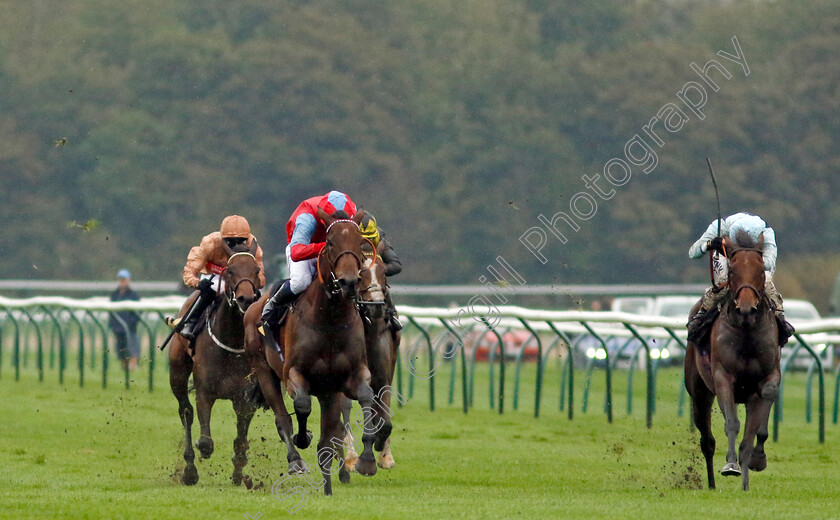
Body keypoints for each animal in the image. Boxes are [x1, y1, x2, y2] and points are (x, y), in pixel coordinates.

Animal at [169, 244, 260, 488]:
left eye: (257, 270)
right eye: (230, 270)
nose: (246, 298)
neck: (232, 341)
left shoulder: (245, 398)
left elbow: (241, 440)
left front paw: (239, 474)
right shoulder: (204, 392)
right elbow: (205, 441)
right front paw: (200, 458)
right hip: (177, 373)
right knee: (186, 412)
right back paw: (189, 471)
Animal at [243, 208, 388, 496]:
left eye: (360, 243)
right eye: (330, 242)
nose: (349, 282)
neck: (329, 319)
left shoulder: (349, 377)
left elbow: (366, 397)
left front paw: (366, 460)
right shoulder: (294, 374)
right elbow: (301, 405)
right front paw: (302, 437)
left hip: (328, 392)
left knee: (327, 440)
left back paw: (329, 484)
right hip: (264, 372)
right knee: (283, 419)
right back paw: (296, 459)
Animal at [344, 240, 404, 472]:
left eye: (384, 272)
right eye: (360, 274)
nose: (376, 306)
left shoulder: (383, 376)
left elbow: (385, 419)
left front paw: (383, 452)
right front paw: (352, 458)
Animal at [684, 233, 784, 492]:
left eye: (760, 271)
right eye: (733, 271)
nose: (747, 307)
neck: (747, 332)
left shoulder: (768, 377)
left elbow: (754, 432)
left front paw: (758, 458)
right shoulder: (722, 378)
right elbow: (732, 424)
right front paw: (730, 465)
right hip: (699, 392)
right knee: (707, 440)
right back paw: (711, 484)